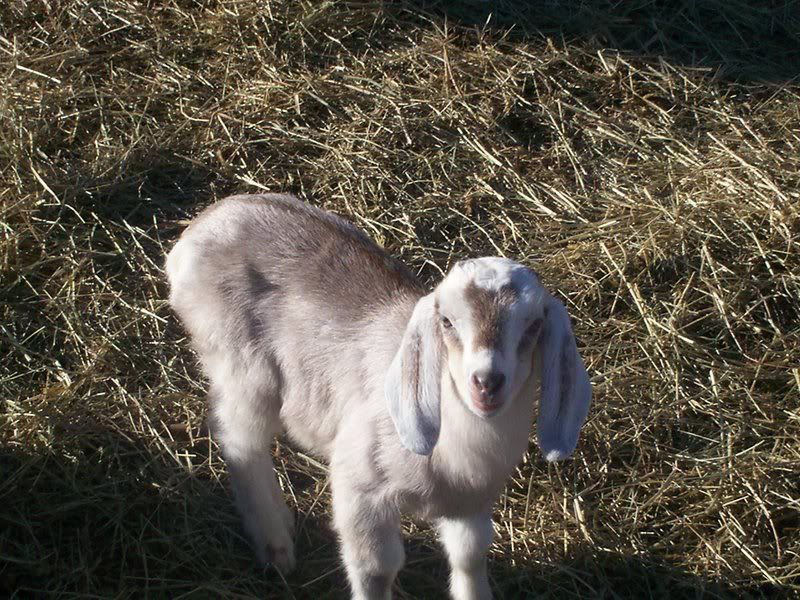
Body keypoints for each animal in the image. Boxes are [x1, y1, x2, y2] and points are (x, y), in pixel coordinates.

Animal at [165, 194, 592, 600]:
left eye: (534, 326)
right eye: (447, 322)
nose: (487, 382)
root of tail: (198, 231)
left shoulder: (470, 501)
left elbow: (470, 556)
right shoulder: (360, 489)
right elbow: (376, 570)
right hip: (241, 367)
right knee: (240, 439)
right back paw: (274, 542)